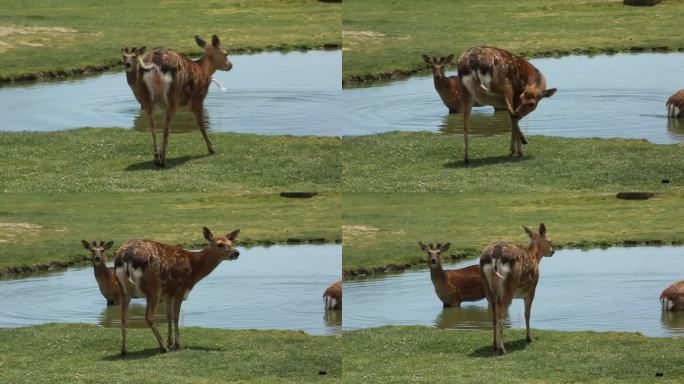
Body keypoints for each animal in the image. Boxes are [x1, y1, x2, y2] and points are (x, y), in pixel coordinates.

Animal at [113, 226, 240, 356]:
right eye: (219, 244)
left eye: (231, 242)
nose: (236, 252)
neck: (194, 269)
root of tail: (126, 257)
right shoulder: (180, 289)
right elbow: (176, 316)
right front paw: (178, 344)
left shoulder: (167, 294)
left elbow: (169, 316)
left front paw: (170, 341)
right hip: (153, 287)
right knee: (149, 315)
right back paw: (163, 347)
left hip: (123, 289)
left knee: (123, 315)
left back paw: (124, 350)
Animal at [135, 35, 234, 167]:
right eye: (226, 53)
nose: (230, 65)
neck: (204, 71)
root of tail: (154, 63)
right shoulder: (198, 98)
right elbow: (201, 125)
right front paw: (211, 149)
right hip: (173, 95)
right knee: (166, 129)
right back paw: (163, 161)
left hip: (145, 96)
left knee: (153, 126)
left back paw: (157, 158)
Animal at [478, 224, 552, 356]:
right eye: (550, 241)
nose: (553, 251)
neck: (534, 256)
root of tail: (495, 256)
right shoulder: (531, 290)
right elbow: (527, 314)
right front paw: (529, 338)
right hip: (509, 286)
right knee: (501, 314)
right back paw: (502, 349)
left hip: (487, 288)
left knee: (493, 316)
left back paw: (494, 346)